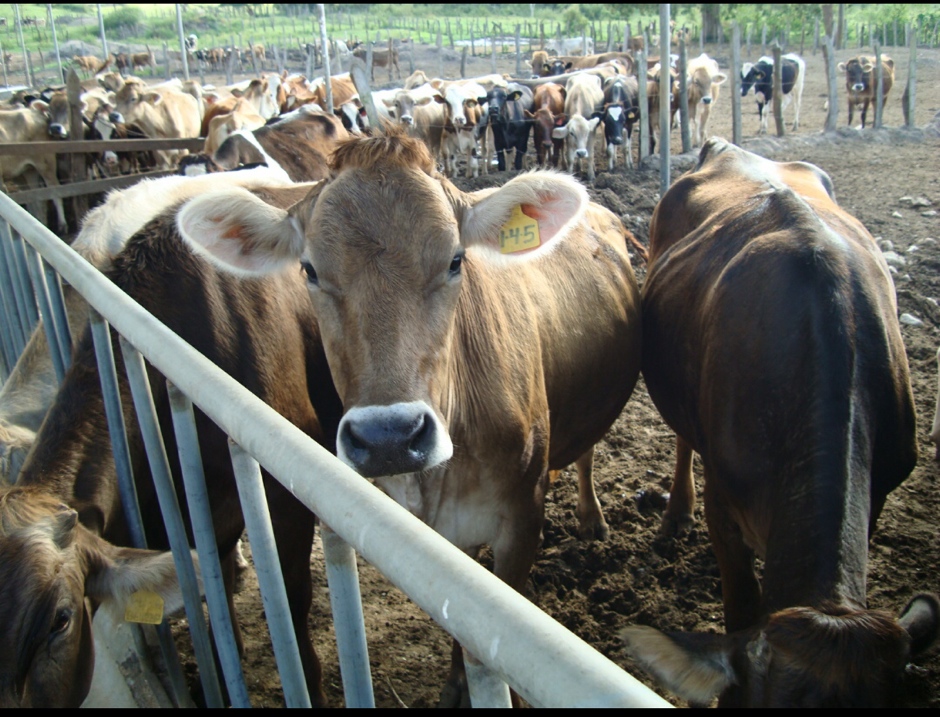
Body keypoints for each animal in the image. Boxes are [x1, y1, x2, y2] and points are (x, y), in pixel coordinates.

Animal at [176, 126, 648, 708]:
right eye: (309, 270)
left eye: (455, 261)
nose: (389, 437)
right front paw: (456, 684)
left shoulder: (521, 522)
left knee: (585, 452)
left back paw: (591, 517)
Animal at [620, 138, 936, 704]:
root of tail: (725, 146)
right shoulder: (726, 504)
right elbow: (741, 608)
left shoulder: (879, 493)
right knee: (683, 438)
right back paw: (677, 511)